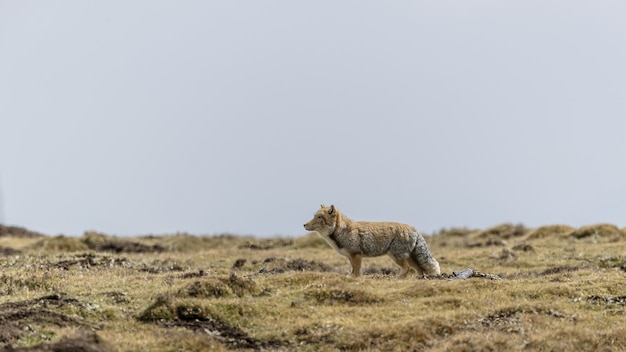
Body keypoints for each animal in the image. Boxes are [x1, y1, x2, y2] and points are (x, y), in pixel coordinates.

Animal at [302, 204, 438, 278]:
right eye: (314, 216)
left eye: (319, 217)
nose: (304, 224)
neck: (342, 231)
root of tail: (413, 228)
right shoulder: (350, 257)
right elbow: (353, 271)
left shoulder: (356, 256)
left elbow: (357, 272)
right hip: (409, 258)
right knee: (420, 270)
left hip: (397, 257)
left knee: (407, 268)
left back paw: (397, 278)